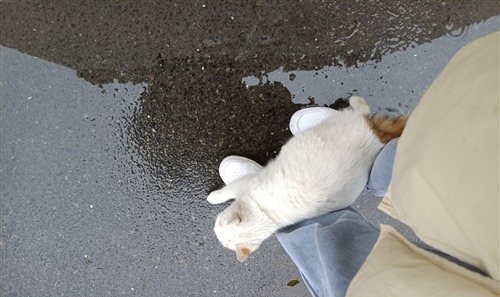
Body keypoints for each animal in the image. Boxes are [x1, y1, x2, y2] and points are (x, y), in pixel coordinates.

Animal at [207, 96, 406, 260]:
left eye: (220, 229)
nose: (214, 230)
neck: (266, 212)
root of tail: (376, 137)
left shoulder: (246, 182)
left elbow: (225, 192)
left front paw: (212, 197)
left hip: (337, 123)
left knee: (362, 110)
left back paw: (354, 100)